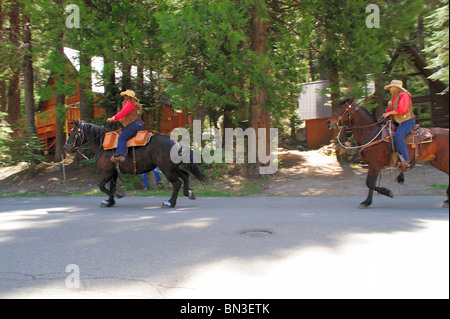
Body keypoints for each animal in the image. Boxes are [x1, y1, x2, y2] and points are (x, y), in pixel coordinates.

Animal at [63, 121, 207, 209]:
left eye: (73, 132)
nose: (66, 148)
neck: (102, 145)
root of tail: (177, 143)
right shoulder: (113, 172)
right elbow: (111, 186)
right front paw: (110, 201)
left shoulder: (107, 172)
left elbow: (102, 186)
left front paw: (117, 195)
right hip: (172, 168)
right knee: (186, 176)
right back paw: (188, 193)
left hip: (167, 169)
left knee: (177, 183)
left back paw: (170, 202)